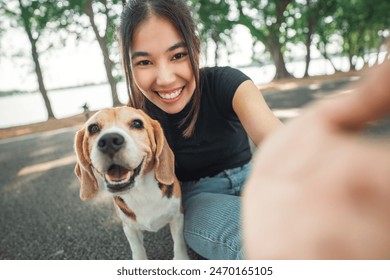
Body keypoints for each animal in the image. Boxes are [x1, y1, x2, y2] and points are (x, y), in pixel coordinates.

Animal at [74, 106, 189, 260]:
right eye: (93, 128)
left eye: (137, 124)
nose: (109, 141)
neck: (142, 193)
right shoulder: (129, 228)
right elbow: (137, 249)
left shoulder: (177, 216)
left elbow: (179, 243)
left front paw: (181, 258)